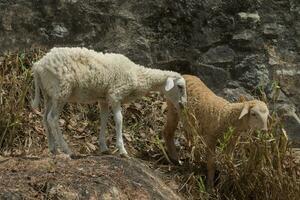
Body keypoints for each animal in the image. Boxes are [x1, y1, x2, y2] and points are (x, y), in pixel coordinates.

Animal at [33, 47, 188, 158]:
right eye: (180, 86)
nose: (183, 104)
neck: (138, 76)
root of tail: (38, 66)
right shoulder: (115, 94)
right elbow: (119, 120)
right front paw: (122, 150)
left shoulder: (104, 98)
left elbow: (104, 119)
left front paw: (104, 147)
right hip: (61, 90)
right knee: (52, 118)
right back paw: (66, 149)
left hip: (49, 94)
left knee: (45, 118)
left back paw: (53, 148)